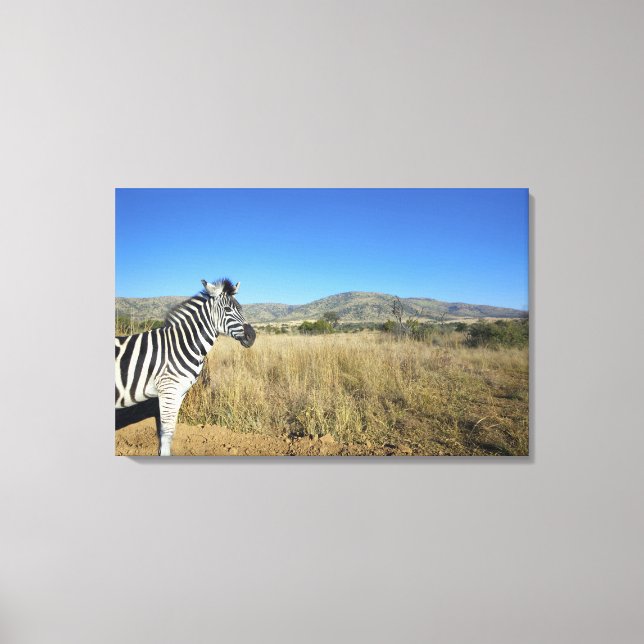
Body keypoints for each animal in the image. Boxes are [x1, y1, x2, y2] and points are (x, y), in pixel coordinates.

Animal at [115, 278, 256, 456]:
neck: (180, 345)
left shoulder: (179, 392)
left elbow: (171, 431)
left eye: (241, 308)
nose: (253, 336)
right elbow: (166, 431)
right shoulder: (168, 390)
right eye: (227, 309)